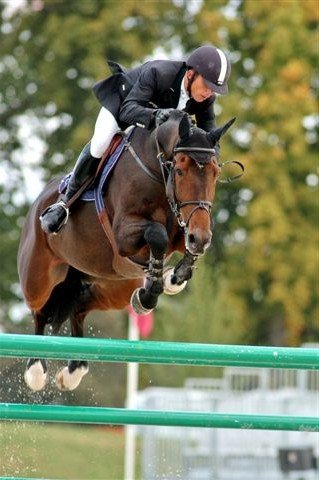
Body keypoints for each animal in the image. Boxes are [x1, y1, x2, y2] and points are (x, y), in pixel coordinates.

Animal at [17, 110, 236, 392]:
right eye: (179, 170)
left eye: (216, 173)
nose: (199, 238)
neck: (156, 171)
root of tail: (38, 203)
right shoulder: (124, 234)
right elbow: (157, 234)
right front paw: (153, 289)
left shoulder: (186, 226)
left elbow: (185, 242)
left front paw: (171, 279)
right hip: (38, 277)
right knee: (40, 310)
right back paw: (36, 369)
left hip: (114, 285)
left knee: (79, 305)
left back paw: (74, 370)